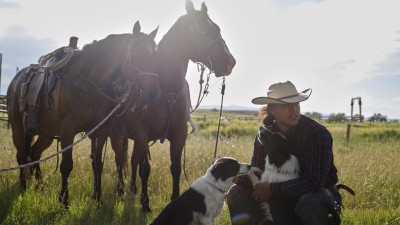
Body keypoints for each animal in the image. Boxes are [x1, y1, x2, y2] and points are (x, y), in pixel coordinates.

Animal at [5, 22, 159, 208]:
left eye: (155, 54)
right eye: (138, 52)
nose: (153, 93)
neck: (89, 81)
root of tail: (16, 81)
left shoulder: (100, 131)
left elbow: (98, 164)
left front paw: (98, 197)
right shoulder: (68, 131)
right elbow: (66, 165)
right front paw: (64, 200)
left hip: (46, 133)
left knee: (34, 153)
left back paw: (39, 186)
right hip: (18, 129)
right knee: (21, 155)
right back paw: (23, 186)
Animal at [110, 0, 234, 212]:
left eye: (217, 28)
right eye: (200, 28)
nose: (229, 62)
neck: (167, 89)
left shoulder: (178, 135)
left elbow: (174, 168)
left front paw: (174, 199)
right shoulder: (143, 135)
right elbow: (145, 169)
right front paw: (145, 203)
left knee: (132, 162)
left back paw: (132, 190)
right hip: (118, 136)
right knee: (121, 160)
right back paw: (121, 192)